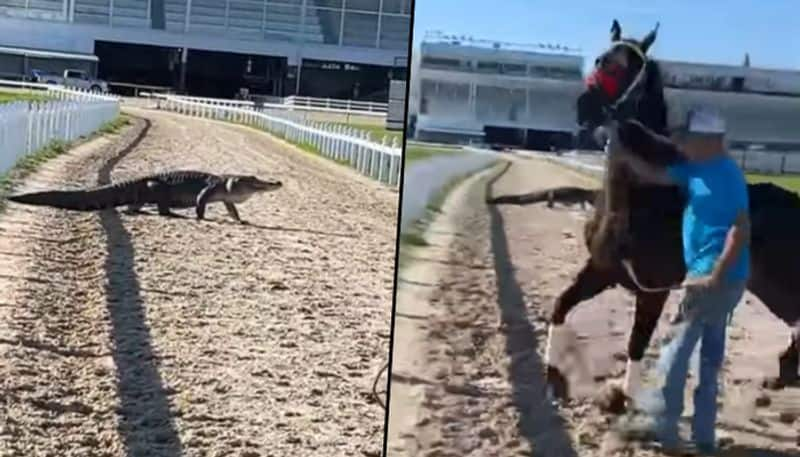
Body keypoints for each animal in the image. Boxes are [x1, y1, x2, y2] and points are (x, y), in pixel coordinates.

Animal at [488, 19, 800, 400]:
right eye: (599, 59)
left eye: (627, 66)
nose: (585, 107)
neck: (643, 203)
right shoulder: (601, 270)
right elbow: (561, 306)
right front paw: (555, 375)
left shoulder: (655, 289)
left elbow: (637, 341)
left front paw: (623, 396)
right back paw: (784, 373)